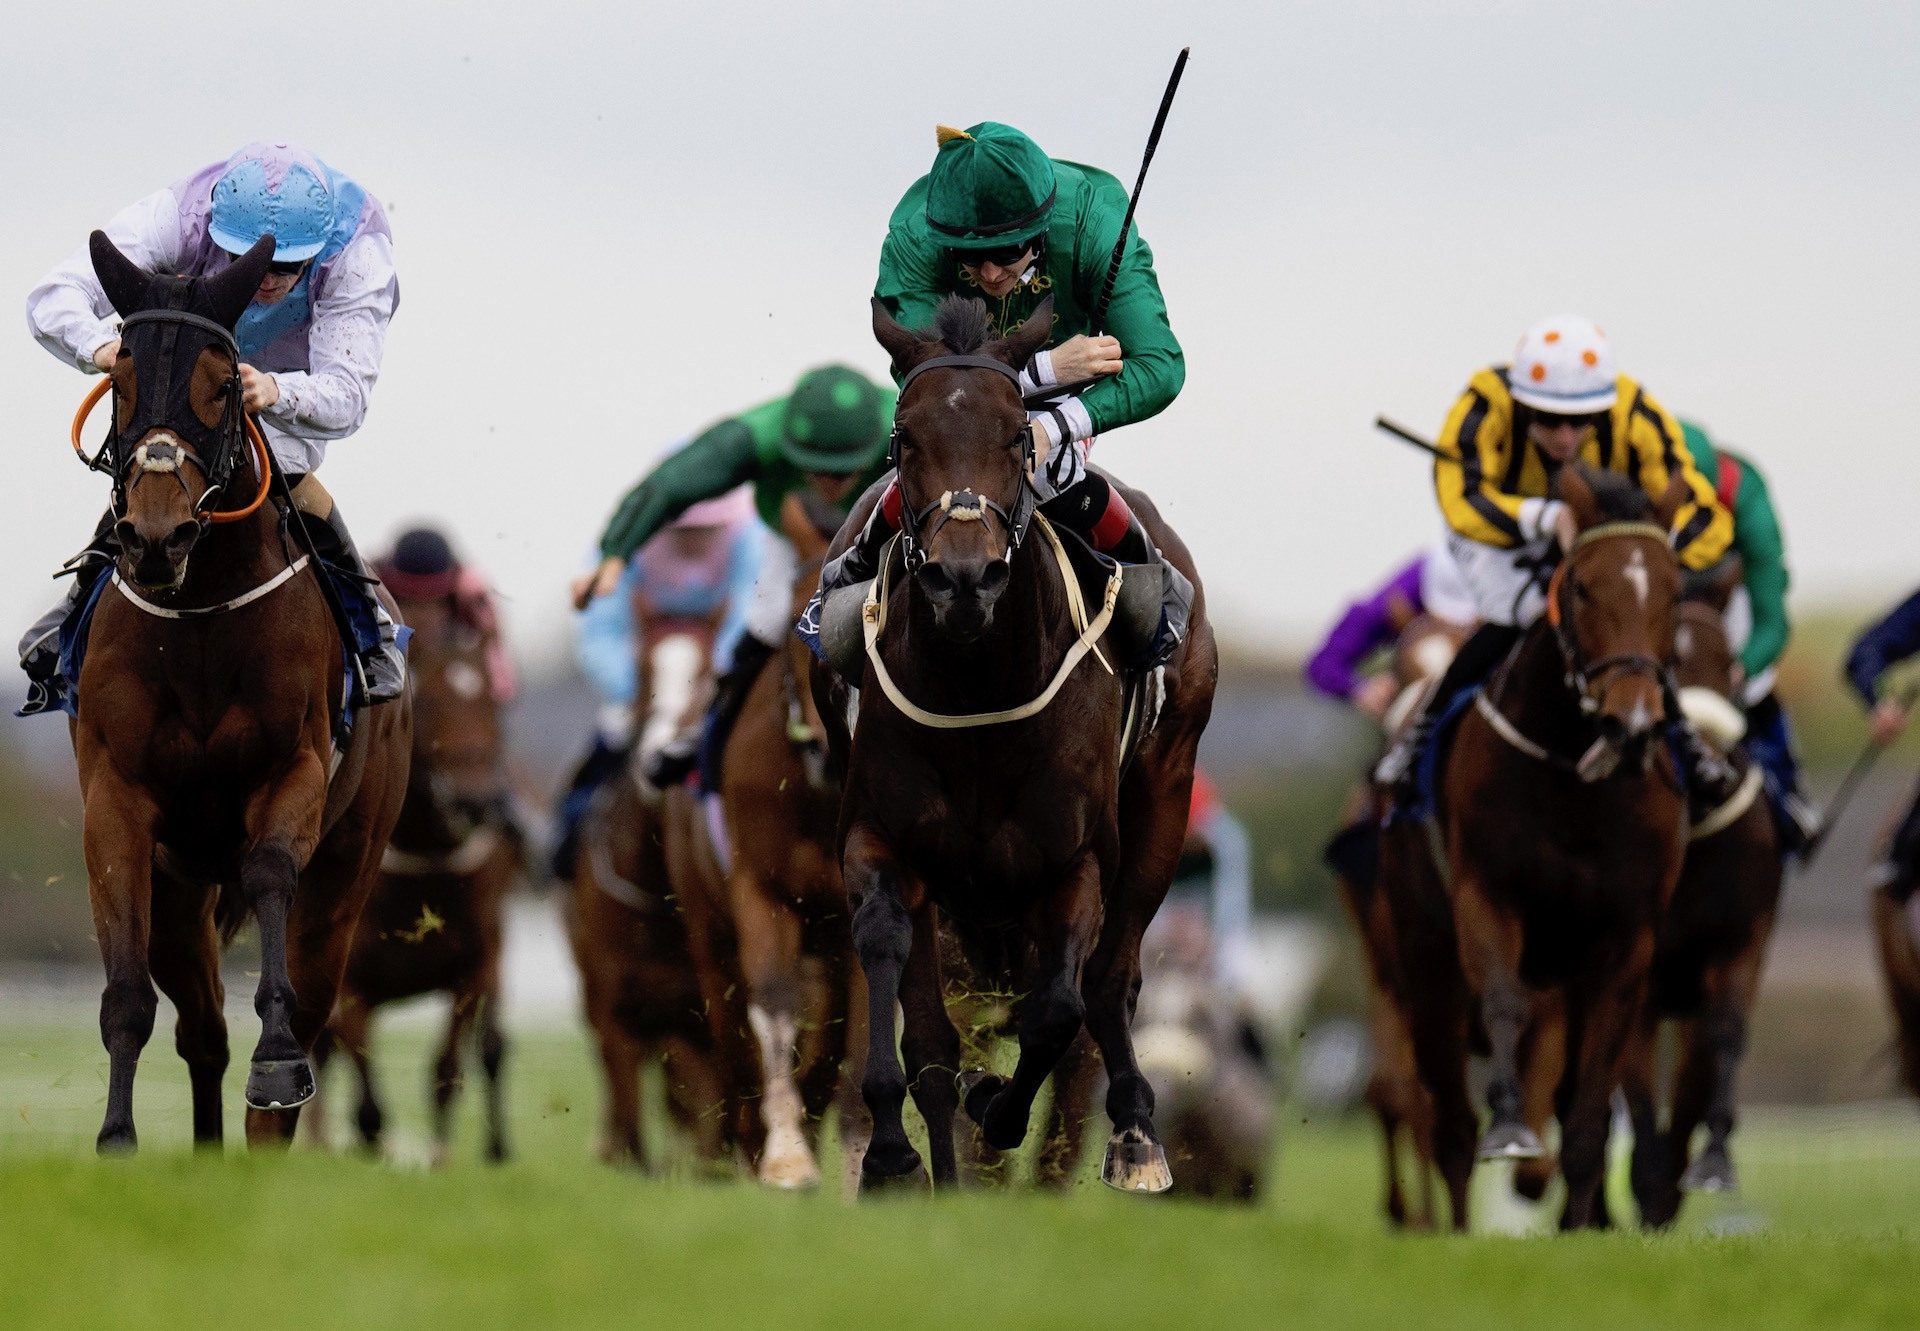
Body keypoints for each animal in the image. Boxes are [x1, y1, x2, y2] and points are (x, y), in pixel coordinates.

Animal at [72, 233, 408, 1144]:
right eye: (120, 379)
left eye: (223, 384)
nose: (155, 537)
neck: (197, 619)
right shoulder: (118, 803)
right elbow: (127, 996)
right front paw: (115, 1140)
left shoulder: (291, 772)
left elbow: (266, 874)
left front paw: (279, 1063)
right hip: (182, 887)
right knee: (204, 1029)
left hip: (348, 871)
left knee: (312, 1002)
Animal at [314, 576, 526, 1160]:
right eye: (429, 698)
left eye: (492, 700)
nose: (477, 802)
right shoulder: (352, 982)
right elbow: (363, 1091)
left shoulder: (474, 968)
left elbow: (448, 1069)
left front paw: (441, 1157)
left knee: (494, 1048)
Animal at [564, 606, 737, 1167]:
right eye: (641, 673)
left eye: (709, 675)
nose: (658, 758)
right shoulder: (616, 1009)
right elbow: (630, 1130)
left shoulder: (702, 1018)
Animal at [825, 295, 1213, 1190]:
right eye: (905, 436)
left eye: (1015, 436)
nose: (964, 579)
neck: (979, 692)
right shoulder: (883, 841)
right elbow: (907, 1001)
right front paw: (897, 1152)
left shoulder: (1075, 859)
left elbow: (1057, 1010)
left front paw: (998, 1108)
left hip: (1165, 799)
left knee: (1108, 981)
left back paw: (1134, 1131)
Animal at [1382, 464, 1697, 1221]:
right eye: (1580, 585)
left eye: (1675, 590)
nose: (1631, 725)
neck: (1571, 781)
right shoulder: (1487, 898)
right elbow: (1504, 1003)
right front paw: (1511, 1130)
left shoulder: (1625, 939)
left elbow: (1588, 1111)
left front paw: (1579, 1218)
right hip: (1424, 963)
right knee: (1447, 1123)